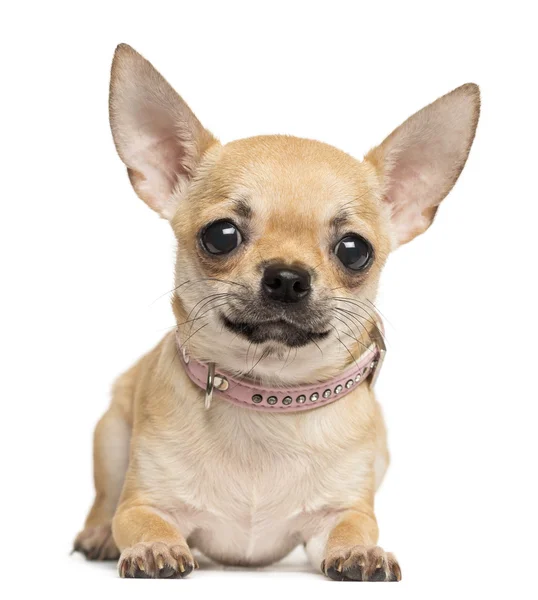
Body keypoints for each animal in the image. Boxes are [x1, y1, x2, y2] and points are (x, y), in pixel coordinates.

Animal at [72, 44, 478, 580]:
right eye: (221, 235)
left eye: (354, 250)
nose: (287, 277)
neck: (268, 397)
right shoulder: (142, 503)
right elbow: (141, 520)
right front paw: (153, 547)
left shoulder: (346, 508)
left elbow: (353, 527)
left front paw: (361, 552)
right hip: (111, 435)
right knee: (103, 499)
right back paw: (97, 534)